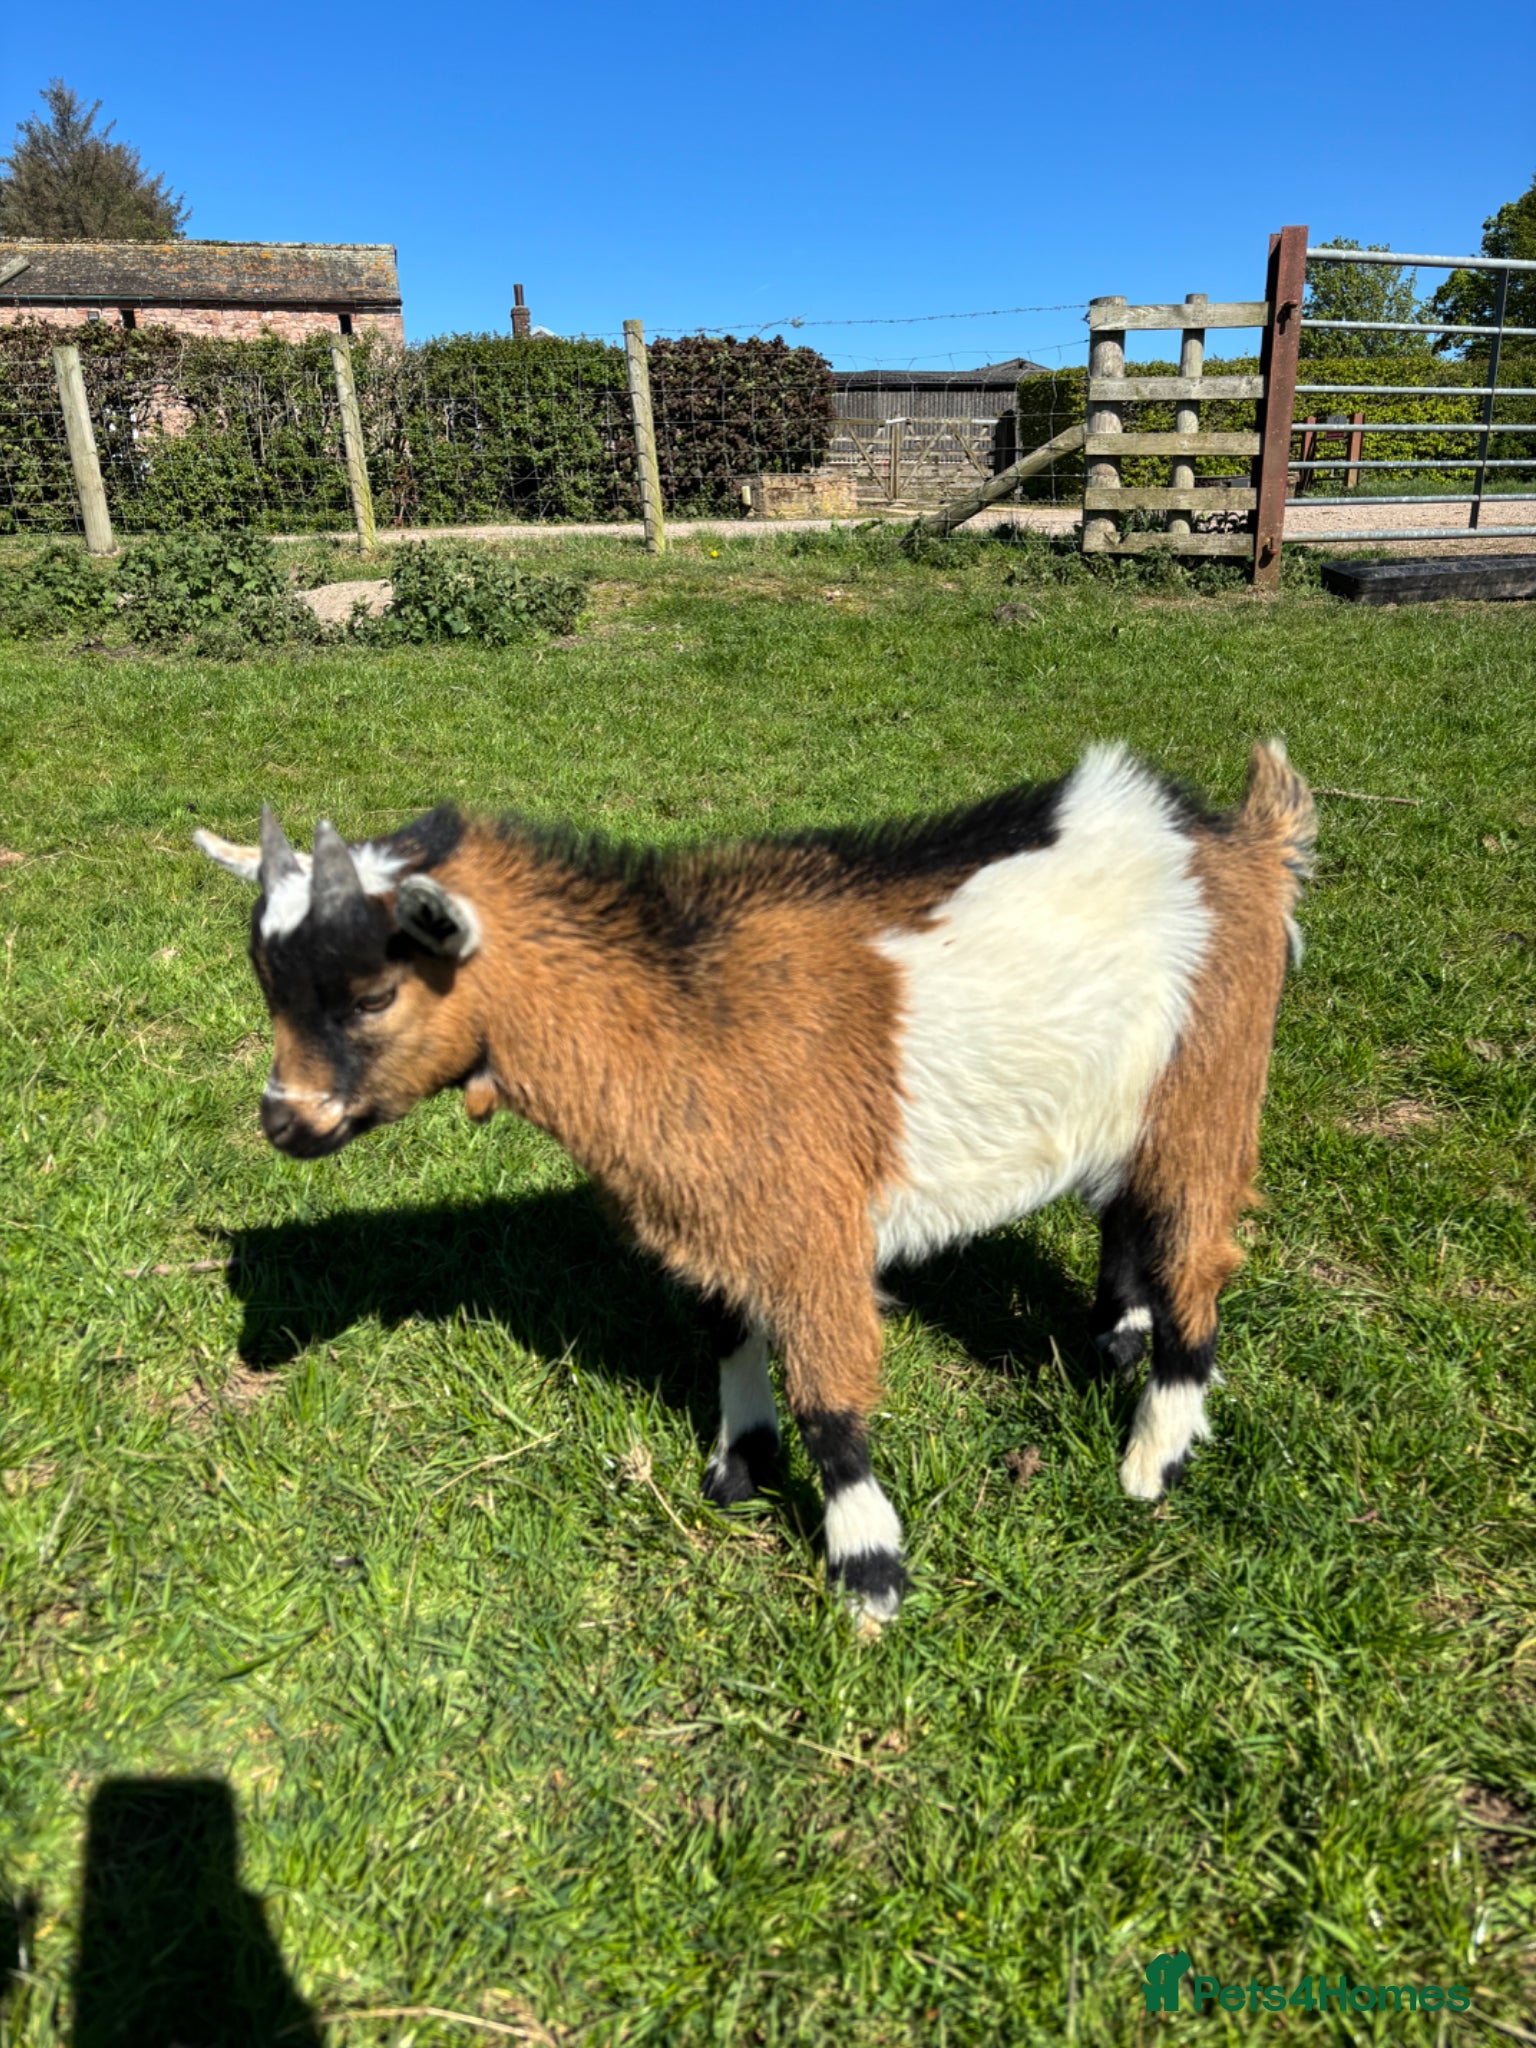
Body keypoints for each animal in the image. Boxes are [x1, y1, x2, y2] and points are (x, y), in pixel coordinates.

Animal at [195, 742, 1314, 1623]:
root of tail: (1245, 843)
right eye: (266, 983)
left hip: (1210, 1084)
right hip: (1128, 1099)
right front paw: (738, 1464)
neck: (684, 1014)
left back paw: (1155, 1453)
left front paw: (869, 1575)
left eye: (373, 995)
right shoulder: (711, 1211)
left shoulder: (811, 1220)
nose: (284, 1120)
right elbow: (728, 1330)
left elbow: (831, 1404)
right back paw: (1114, 1338)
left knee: (1197, 1255)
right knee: (1128, 1214)